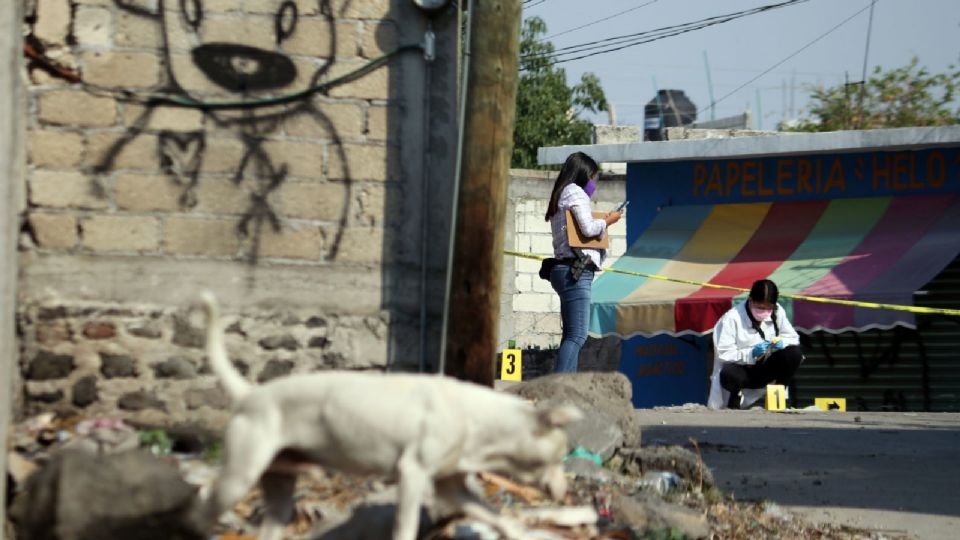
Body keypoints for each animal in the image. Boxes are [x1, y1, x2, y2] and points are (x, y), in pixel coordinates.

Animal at [199, 296, 580, 540]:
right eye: (559, 457)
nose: (565, 493)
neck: (481, 420)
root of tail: (250, 395)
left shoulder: (454, 488)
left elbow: (492, 514)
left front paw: (515, 530)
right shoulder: (412, 475)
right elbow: (406, 527)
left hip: (279, 487)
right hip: (239, 476)